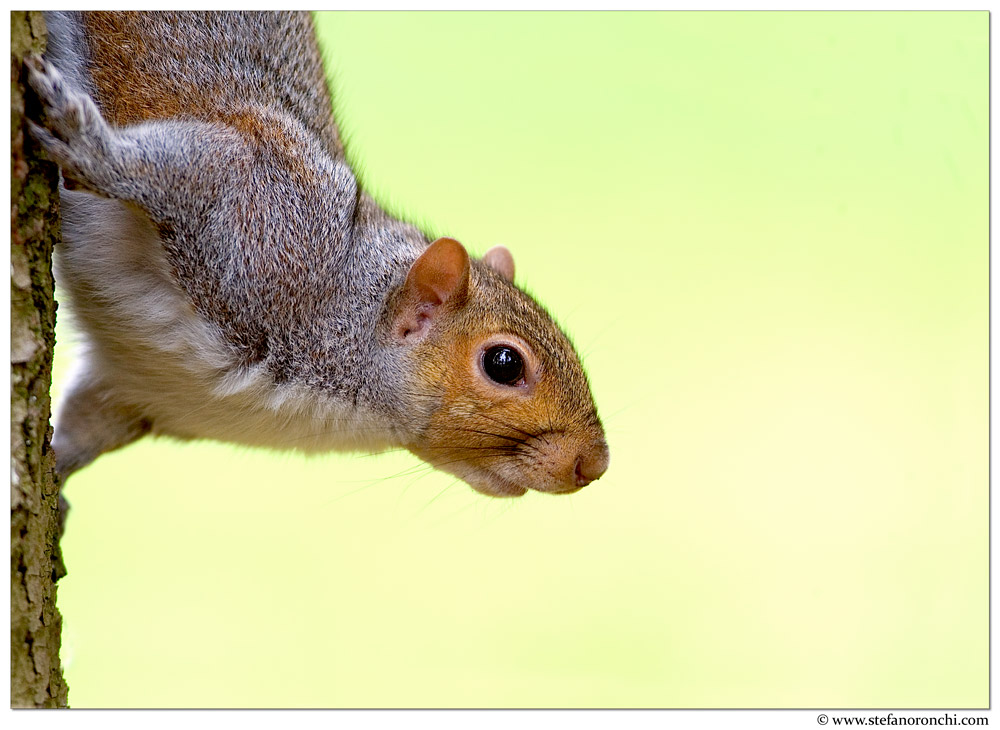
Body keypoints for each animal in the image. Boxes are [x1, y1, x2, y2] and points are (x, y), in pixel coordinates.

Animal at [26, 10, 609, 498]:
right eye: (504, 363)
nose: (595, 465)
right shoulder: (256, 214)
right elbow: (178, 168)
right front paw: (89, 147)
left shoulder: (136, 389)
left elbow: (82, 429)